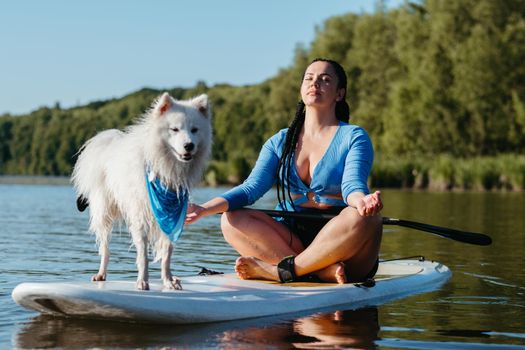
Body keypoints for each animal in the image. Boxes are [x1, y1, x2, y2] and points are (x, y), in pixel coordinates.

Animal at [71, 92, 211, 290]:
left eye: (194, 130)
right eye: (175, 129)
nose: (189, 146)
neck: (165, 169)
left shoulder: (172, 215)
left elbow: (167, 253)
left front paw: (169, 280)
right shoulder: (141, 215)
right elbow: (143, 254)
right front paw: (142, 281)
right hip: (104, 211)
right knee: (105, 248)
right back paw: (101, 274)